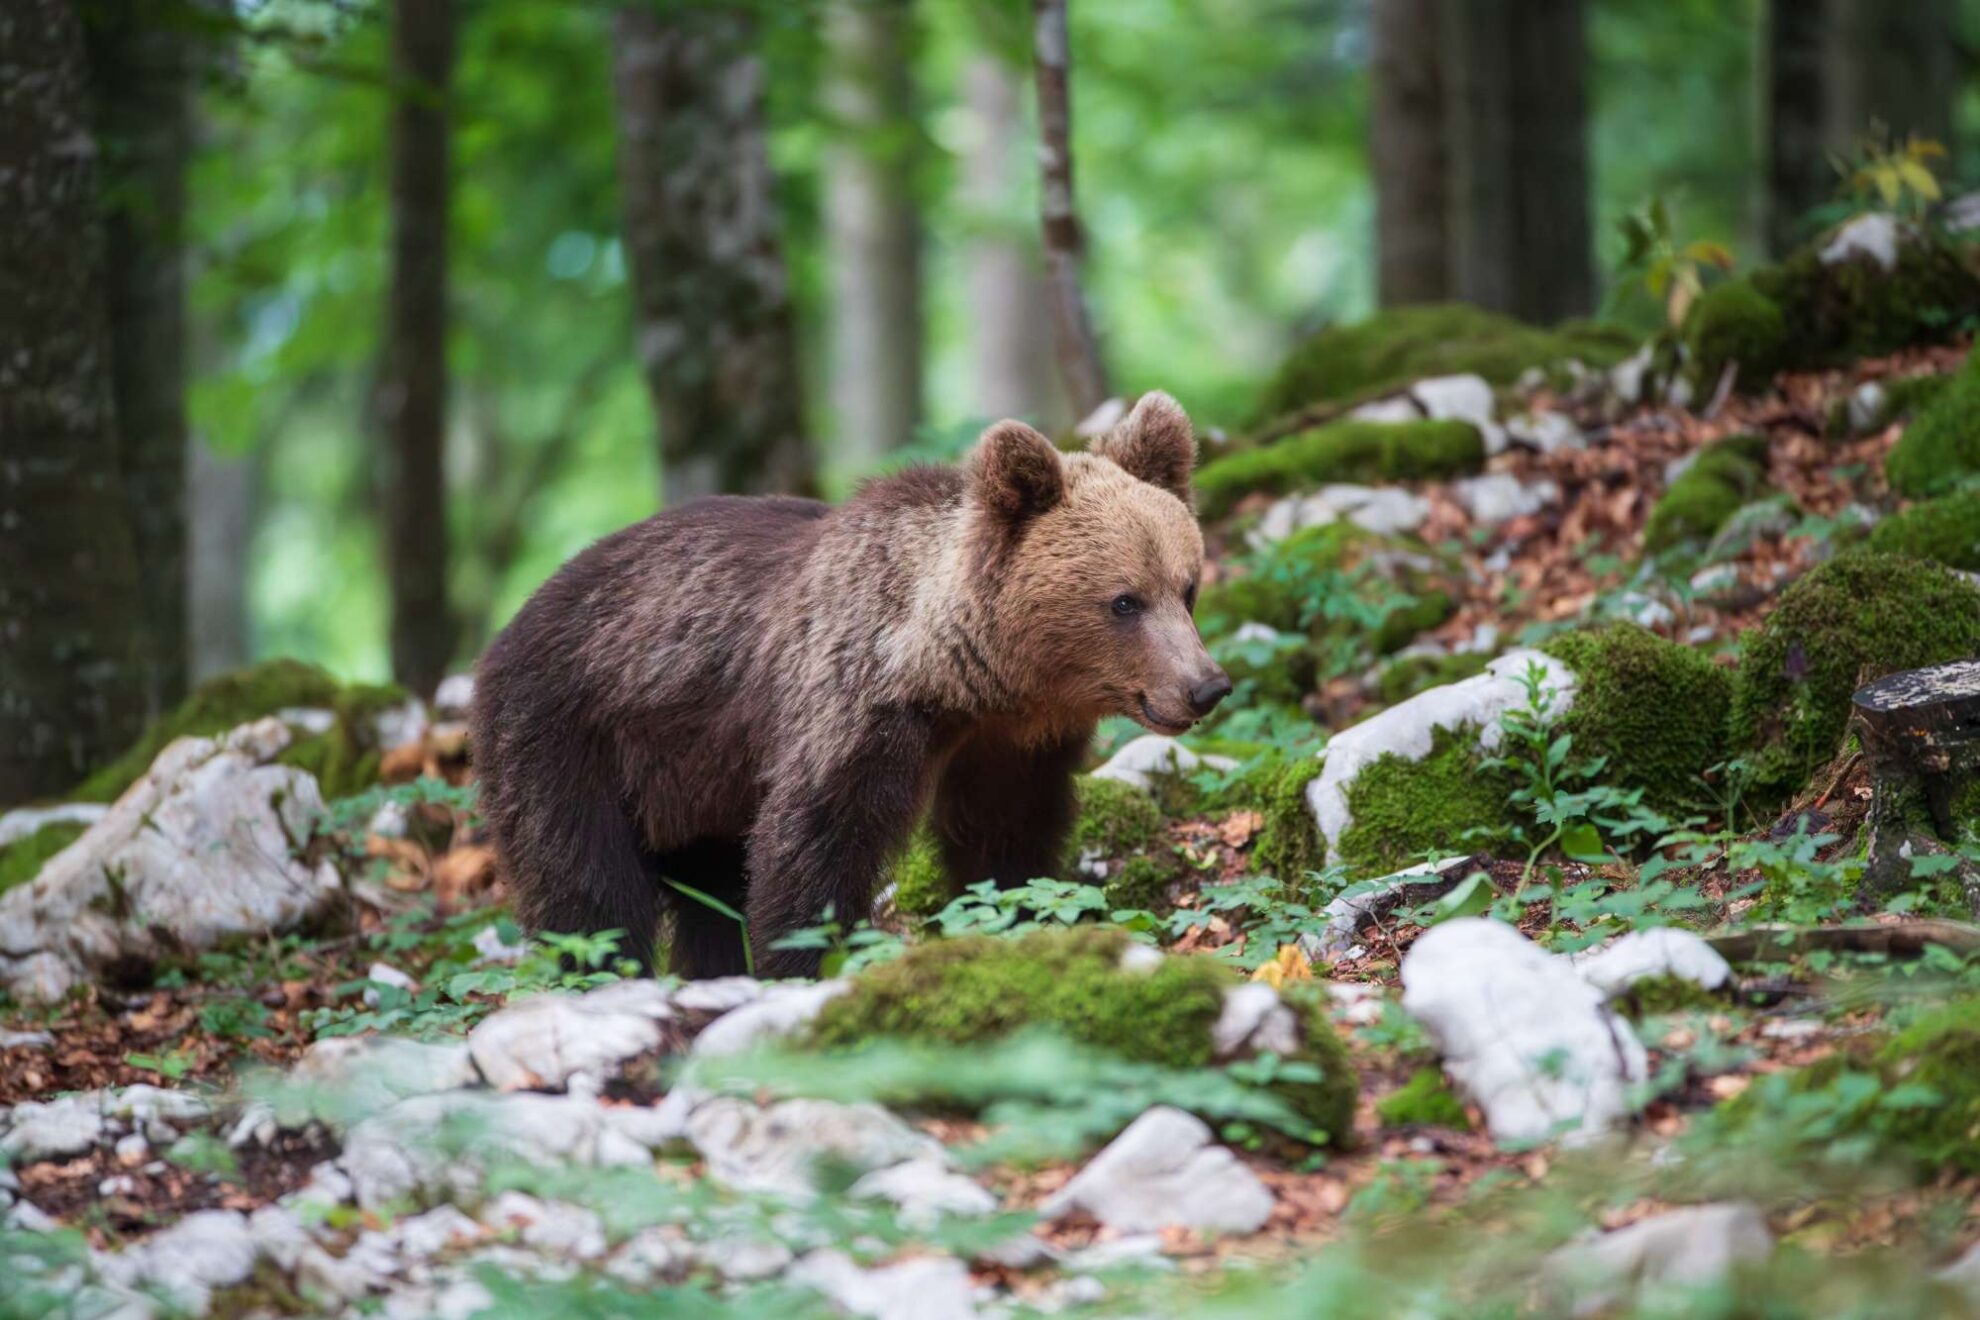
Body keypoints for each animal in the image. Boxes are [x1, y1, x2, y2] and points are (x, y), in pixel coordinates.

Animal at [471, 391, 1227, 981]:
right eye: (1124, 601)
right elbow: (813, 848)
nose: (1205, 686)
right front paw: (804, 962)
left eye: (1187, 587)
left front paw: (1019, 916)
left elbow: (1005, 840)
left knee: (708, 890)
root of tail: (505, 633)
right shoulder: (853, 711)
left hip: (696, 783)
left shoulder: (1008, 747)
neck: (960, 680)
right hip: (570, 734)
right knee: (587, 890)